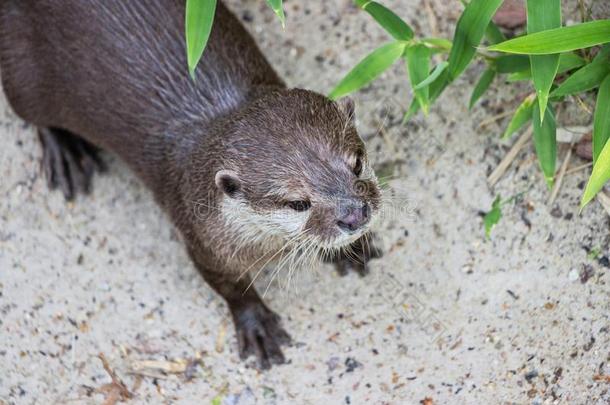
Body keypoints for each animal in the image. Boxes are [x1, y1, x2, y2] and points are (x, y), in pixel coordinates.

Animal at [0, 0, 380, 368]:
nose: (354, 215)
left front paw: (353, 250)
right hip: (24, 74)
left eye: (357, 163)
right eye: (298, 202)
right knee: (32, 114)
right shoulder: (201, 240)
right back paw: (65, 154)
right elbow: (231, 287)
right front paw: (257, 325)